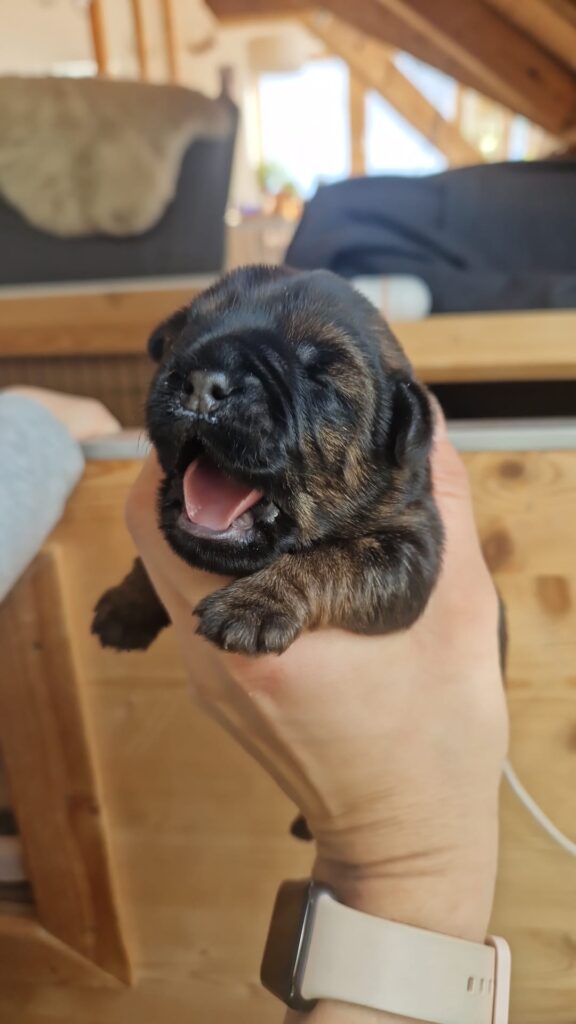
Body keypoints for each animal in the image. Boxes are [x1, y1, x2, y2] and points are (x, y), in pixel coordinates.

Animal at [92, 265, 444, 656]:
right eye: (184, 336)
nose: (203, 383)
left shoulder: (412, 544)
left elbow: (338, 559)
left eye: (320, 379)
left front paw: (253, 604)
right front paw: (125, 606)